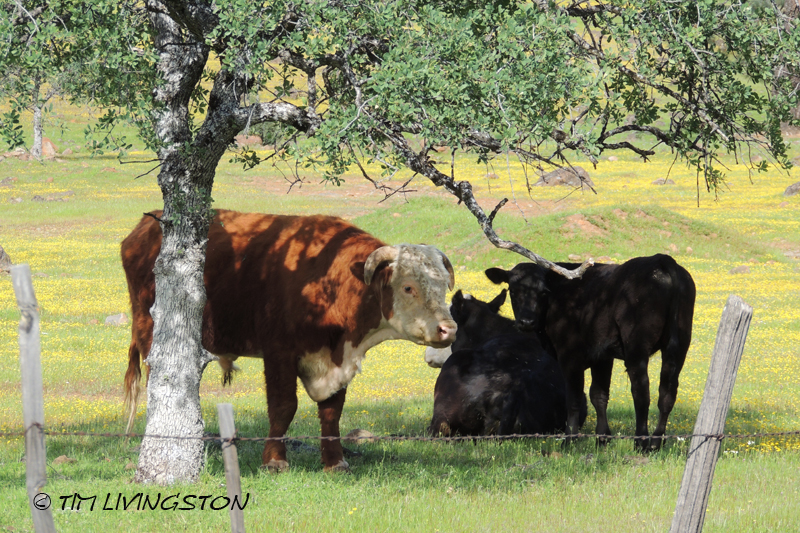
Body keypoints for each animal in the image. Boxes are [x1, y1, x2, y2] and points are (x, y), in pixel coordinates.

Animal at [121, 209, 457, 472]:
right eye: (408, 287)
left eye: (443, 285)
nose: (448, 329)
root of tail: (148, 225)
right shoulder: (279, 352)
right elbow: (284, 406)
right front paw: (274, 460)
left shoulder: (339, 360)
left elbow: (332, 412)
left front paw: (335, 462)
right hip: (151, 330)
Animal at [485, 254, 696, 450]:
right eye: (513, 291)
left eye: (543, 292)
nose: (526, 322)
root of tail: (660, 259)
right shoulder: (602, 356)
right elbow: (598, 395)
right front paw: (602, 438)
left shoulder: (569, 354)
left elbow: (574, 398)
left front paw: (569, 440)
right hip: (679, 344)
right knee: (667, 393)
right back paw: (656, 442)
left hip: (637, 346)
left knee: (641, 392)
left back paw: (641, 442)